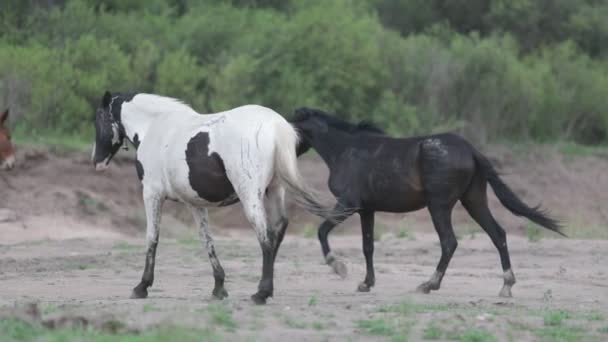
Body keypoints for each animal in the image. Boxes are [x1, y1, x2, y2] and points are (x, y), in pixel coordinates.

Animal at [92, 91, 334, 304]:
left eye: (99, 120)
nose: (96, 161)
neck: (155, 127)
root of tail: (275, 126)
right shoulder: (195, 204)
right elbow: (207, 240)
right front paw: (219, 287)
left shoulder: (152, 194)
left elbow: (152, 238)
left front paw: (142, 286)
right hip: (275, 190)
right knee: (278, 231)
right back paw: (266, 288)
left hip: (250, 196)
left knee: (265, 237)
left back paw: (261, 293)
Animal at [290, 108, 564, 298]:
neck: (346, 150)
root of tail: (471, 150)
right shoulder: (366, 210)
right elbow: (368, 246)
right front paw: (366, 283)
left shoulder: (348, 204)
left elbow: (322, 230)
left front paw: (338, 266)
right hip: (473, 201)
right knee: (498, 234)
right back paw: (506, 286)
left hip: (439, 206)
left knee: (450, 242)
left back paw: (429, 284)